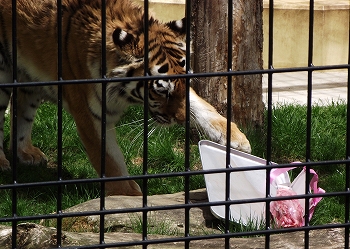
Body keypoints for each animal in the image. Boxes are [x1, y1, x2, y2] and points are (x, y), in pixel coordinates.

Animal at [0, 0, 250, 196]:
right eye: (161, 91)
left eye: (182, 84)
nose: (180, 120)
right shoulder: (89, 113)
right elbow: (109, 160)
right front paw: (130, 198)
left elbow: (201, 106)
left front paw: (237, 139)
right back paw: (3, 163)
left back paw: (26, 153)